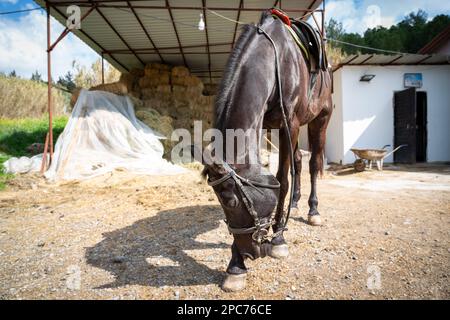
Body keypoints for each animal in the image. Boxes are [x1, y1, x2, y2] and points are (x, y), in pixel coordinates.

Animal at [196, 10, 330, 292]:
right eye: (221, 203)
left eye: (231, 202)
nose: (251, 252)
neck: (276, 59)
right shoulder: (266, 125)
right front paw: (236, 266)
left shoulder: (290, 123)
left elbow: (282, 180)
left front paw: (278, 239)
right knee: (299, 160)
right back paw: (296, 204)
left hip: (320, 119)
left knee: (313, 163)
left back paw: (313, 210)